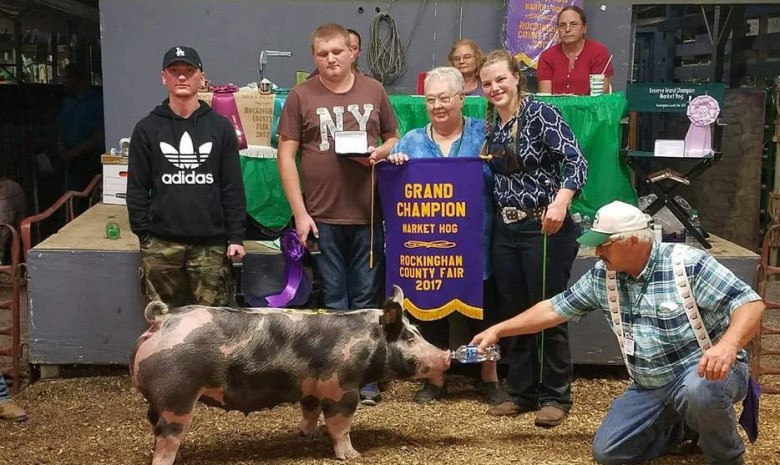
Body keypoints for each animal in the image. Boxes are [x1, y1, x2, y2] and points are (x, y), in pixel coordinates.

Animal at [129, 284, 450, 462]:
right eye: (409, 338)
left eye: (416, 332)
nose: (446, 355)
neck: (368, 343)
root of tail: (162, 321)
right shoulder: (341, 387)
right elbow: (340, 425)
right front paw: (353, 456)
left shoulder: (310, 388)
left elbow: (309, 412)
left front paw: (307, 437)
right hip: (177, 395)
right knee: (168, 434)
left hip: (158, 401)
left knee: (156, 428)